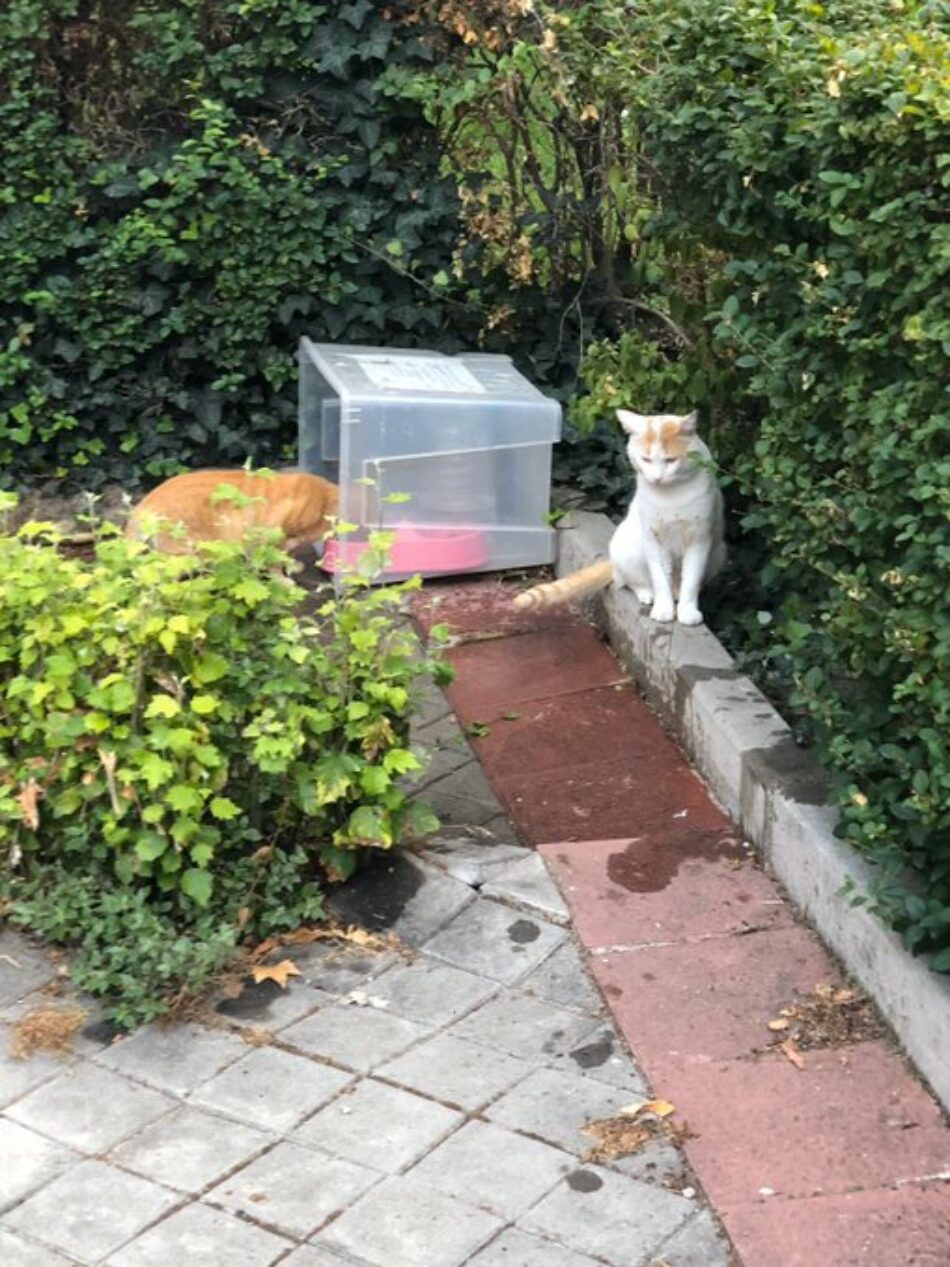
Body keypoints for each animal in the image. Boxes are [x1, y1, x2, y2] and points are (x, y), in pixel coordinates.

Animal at [516, 405, 724, 623]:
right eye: (646, 459)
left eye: (670, 460)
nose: (657, 478)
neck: (670, 496)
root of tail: (611, 562)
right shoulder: (653, 538)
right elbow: (659, 577)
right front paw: (663, 608)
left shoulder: (700, 539)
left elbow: (691, 580)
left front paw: (688, 611)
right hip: (629, 548)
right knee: (629, 581)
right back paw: (648, 594)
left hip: (719, 553)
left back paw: (676, 594)